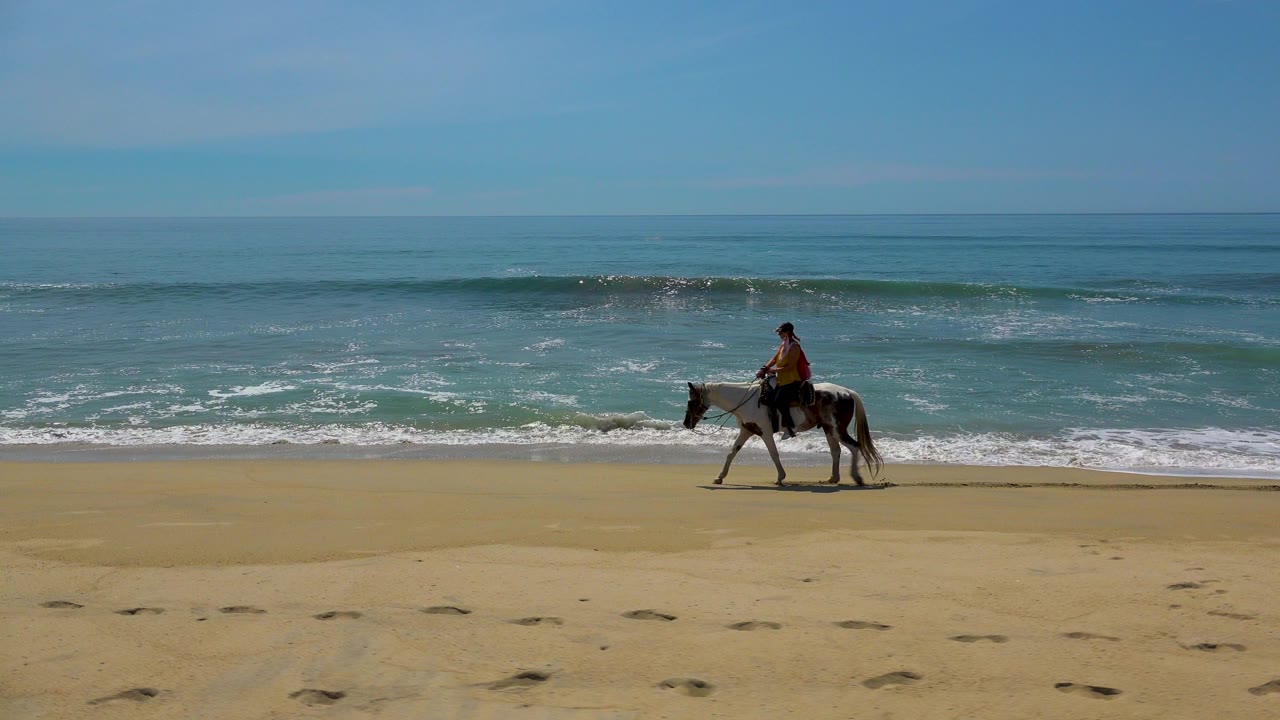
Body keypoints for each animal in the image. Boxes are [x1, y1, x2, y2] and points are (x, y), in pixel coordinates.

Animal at [683, 380, 883, 486]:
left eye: (691, 402)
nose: (686, 423)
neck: (746, 402)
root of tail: (848, 392)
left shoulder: (765, 432)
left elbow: (773, 453)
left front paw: (780, 477)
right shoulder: (746, 431)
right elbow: (732, 453)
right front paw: (719, 477)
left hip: (837, 429)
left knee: (854, 447)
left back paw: (856, 477)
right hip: (828, 429)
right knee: (836, 451)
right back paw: (833, 478)